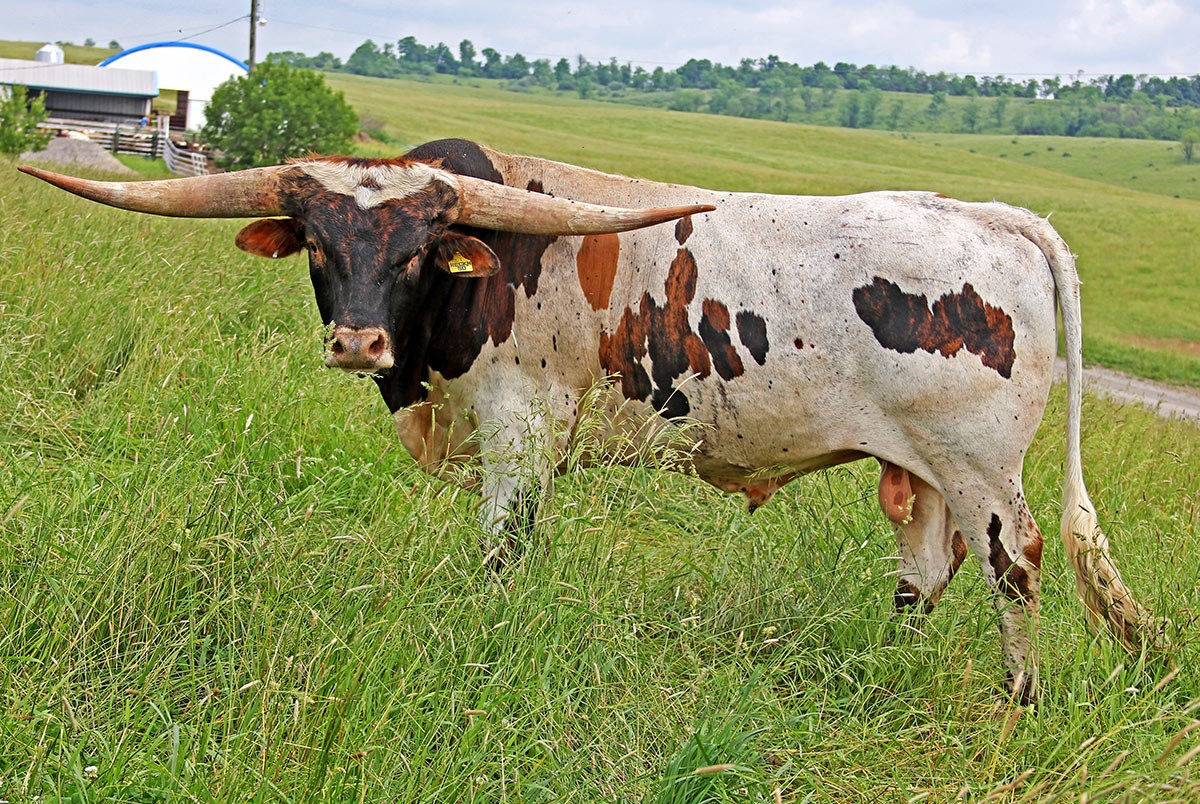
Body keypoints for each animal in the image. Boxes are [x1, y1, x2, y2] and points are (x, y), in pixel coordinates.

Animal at [19, 138, 1166, 703]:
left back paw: (1017, 699)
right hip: (920, 470)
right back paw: (876, 671)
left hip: (981, 469)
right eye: (318, 243)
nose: (357, 342)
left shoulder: (520, 429)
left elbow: (503, 552)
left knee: (1014, 566)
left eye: (418, 248)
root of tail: (991, 216)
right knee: (926, 570)